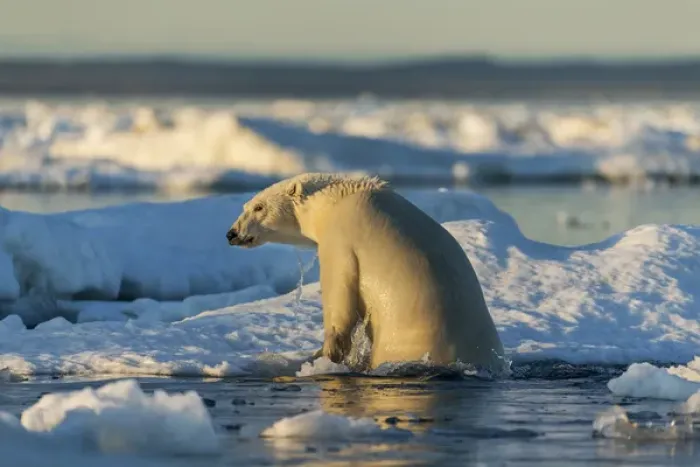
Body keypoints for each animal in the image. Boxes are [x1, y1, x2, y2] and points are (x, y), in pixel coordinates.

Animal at [227, 172, 505, 372]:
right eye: (245, 205)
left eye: (259, 207)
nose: (232, 233)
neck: (339, 199)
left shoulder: (342, 235)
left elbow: (339, 295)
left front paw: (325, 354)